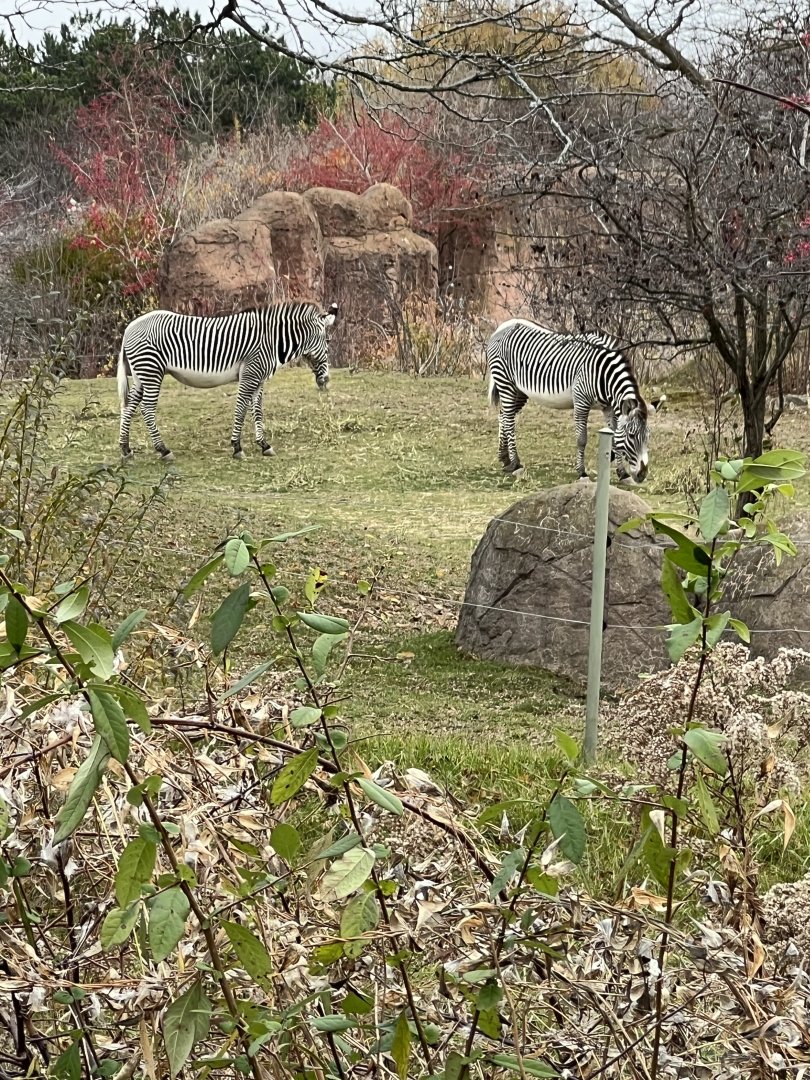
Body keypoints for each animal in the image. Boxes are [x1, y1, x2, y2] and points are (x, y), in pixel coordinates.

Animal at [117, 300, 337, 461]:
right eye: (327, 344)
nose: (326, 381)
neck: (271, 340)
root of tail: (129, 328)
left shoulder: (259, 379)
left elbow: (257, 410)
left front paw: (264, 445)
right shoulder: (250, 374)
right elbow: (241, 409)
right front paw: (237, 447)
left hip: (141, 374)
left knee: (129, 405)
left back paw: (125, 448)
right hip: (151, 371)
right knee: (147, 408)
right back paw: (163, 450)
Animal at [486, 318, 662, 482]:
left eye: (648, 436)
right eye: (631, 436)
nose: (642, 474)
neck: (603, 375)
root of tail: (504, 325)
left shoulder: (609, 408)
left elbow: (614, 437)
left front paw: (622, 473)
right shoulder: (581, 402)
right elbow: (581, 439)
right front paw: (582, 472)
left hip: (519, 391)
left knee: (503, 416)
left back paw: (505, 459)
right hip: (506, 382)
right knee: (509, 420)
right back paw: (516, 464)